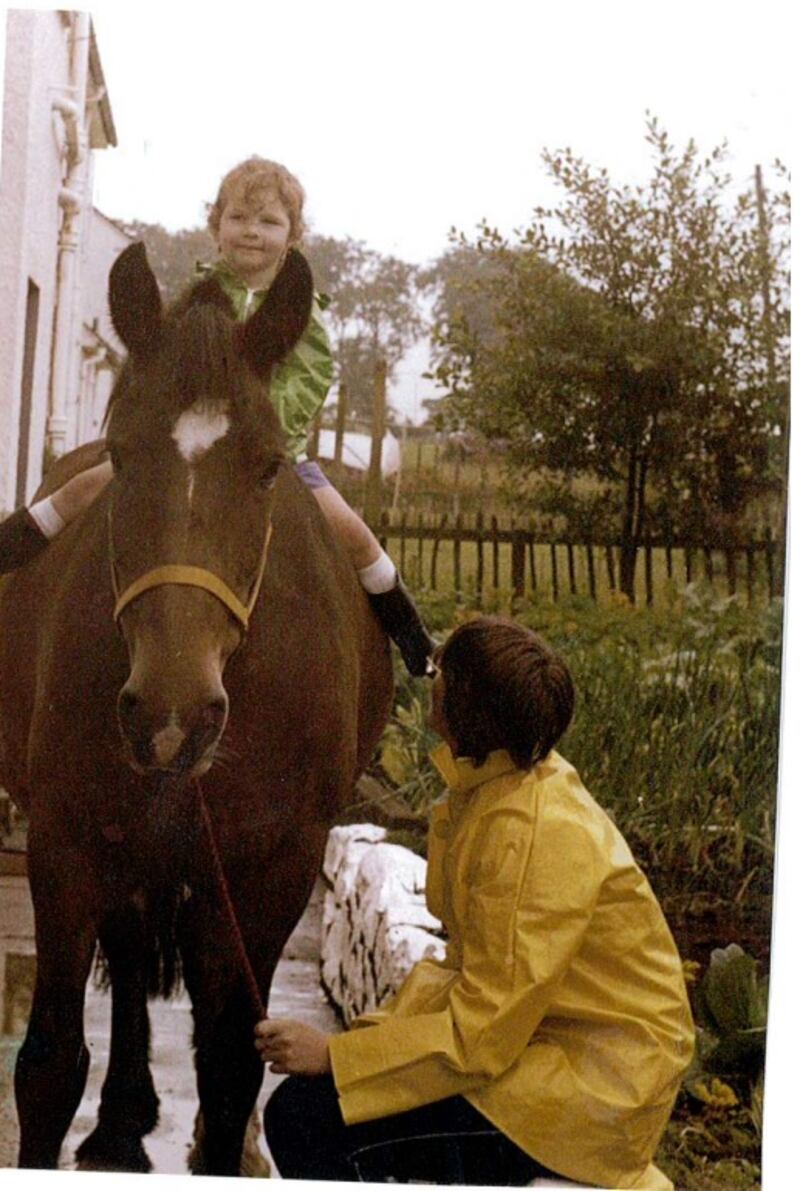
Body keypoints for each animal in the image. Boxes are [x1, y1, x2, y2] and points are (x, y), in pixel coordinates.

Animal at [0, 241, 392, 1171]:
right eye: (120, 453)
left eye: (268, 463)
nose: (171, 713)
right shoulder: (69, 841)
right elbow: (49, 1065)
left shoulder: (272, 866)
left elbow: (229, 1069)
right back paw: (121, 1115)